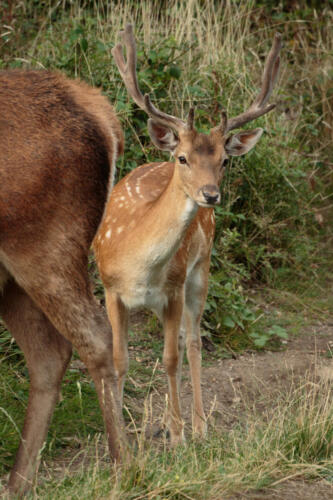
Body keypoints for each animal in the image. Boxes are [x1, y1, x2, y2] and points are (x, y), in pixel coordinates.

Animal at [0, 68, 126, 494]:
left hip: (45, 247)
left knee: (98, 336)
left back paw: (126, 465)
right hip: (12, 276)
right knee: (49, 355)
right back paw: (18, 482)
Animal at [92, 23, 280, 446]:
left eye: (224, 161)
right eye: (183, 158)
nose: (210, 194)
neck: (138, 266)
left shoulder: (173, 289)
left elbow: (171, 358)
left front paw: (177, 435)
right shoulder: (111, 289)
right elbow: (120, 360)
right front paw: (122, 438)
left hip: (200, 269)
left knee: (191, 343)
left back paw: (198, 425)